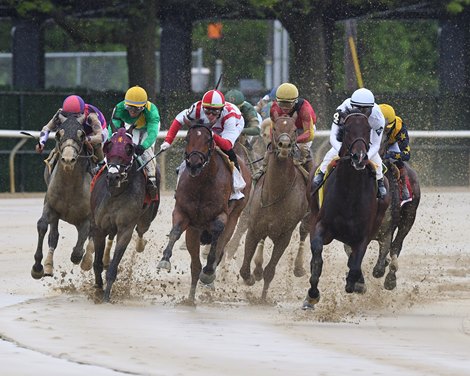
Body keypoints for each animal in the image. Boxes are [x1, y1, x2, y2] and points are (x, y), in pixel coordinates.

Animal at [31, 116, 92, 280]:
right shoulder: (51, 206)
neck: (69, 187)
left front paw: (80, 257)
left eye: (82, 135)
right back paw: (48, 266)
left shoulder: (88, 217)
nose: (68, 159)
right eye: (58, 134)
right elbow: (42, 226)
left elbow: (80, 246)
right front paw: (37, 267)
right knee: (54, 235)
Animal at [89, 127, 160, 302]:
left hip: (146, 219)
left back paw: (140, 245)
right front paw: (98, 288)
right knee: (110, 237)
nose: (113, 176)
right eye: (108, 146)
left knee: (140, 231)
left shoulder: (125, 228)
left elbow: (114, 267)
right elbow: (97, 264)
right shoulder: (98, 227)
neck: (115, 193)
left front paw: (106, 296)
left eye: (129, 149)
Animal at [158, 125, 252, 304]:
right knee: (195, 266)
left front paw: (209, 271)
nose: (194, 164)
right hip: (194, 231)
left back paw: (209, 274)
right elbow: (175, 232)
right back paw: (190, 299)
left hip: (235, 216)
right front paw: (164, 260)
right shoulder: (183, 212)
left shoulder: (222, 215)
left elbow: (216, 235)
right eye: (187, 138)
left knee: (221, 246)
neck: (202, 183)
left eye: (208, 140)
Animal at [239, 114, 308, 300]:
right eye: (275, 128)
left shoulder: (284, 235)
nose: (284, 145)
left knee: (304, 231)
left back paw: (299, 267)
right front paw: (251, 277)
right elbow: (244, 269)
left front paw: (263, 299)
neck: (276, 193)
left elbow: (270, 271)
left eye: (295, 130)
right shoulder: (254, 228)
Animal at [302, 110, 392, 310]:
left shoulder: (363, 236)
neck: (349, 193)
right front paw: (312, 295)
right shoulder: (321, 226)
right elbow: (317, 258)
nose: (359, 157)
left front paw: (355, 283)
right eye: (348, 129)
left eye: (368, 129)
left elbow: (355, 266)